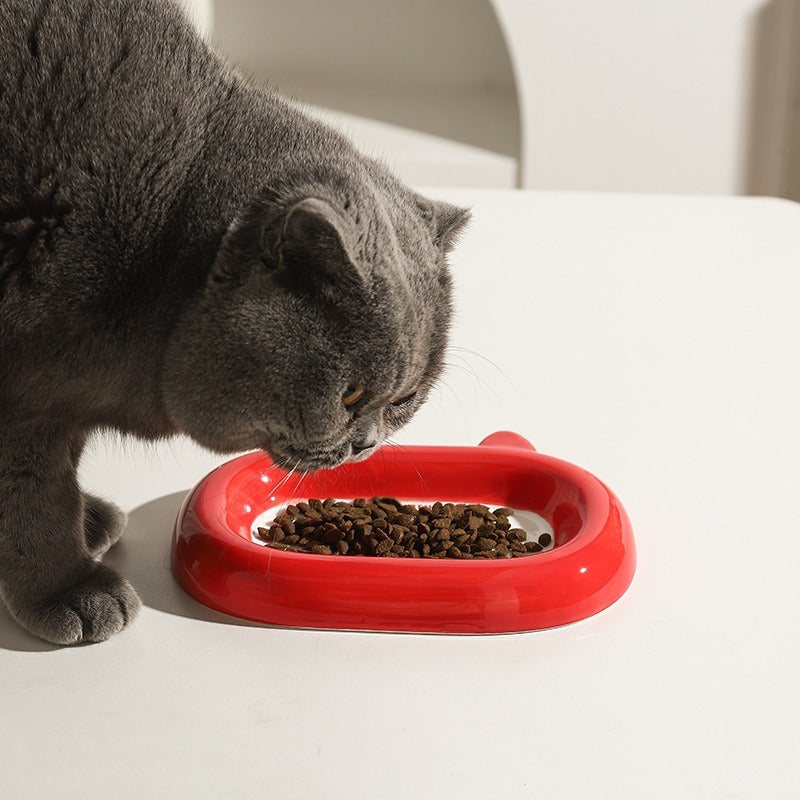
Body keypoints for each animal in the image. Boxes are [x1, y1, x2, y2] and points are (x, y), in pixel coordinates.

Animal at [0, 0, 468, 644]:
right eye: (349, 394)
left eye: (404, 400)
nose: (364, 446)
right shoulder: (22, 394)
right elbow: (33, 495)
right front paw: (69, 588)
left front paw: (83, 524)